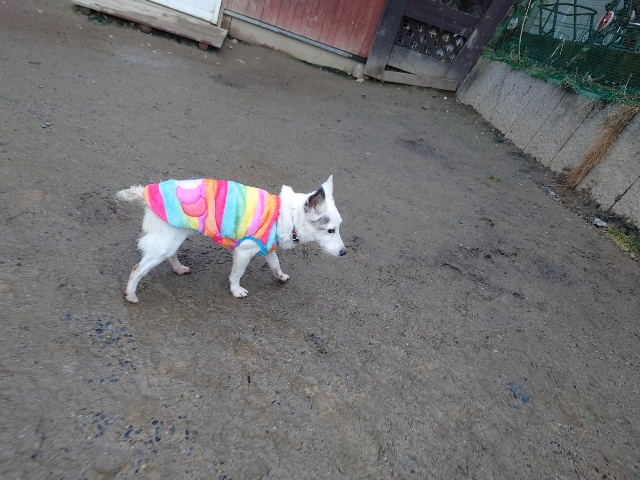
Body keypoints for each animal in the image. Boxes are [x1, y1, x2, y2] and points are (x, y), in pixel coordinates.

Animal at [115, 175, 346, 302]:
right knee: (137, 269)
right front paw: (236, 291)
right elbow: (236, 274)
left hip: (174, 236)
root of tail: (144, 192)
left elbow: (275, 265)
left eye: (339, 226)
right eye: (330, 230)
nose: (344, 252)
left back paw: (178, 268)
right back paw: (131, 294)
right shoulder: (244, 252)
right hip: (163, 242)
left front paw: (280, 276)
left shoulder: (267, 248)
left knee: (171, 254)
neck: (286, 215)